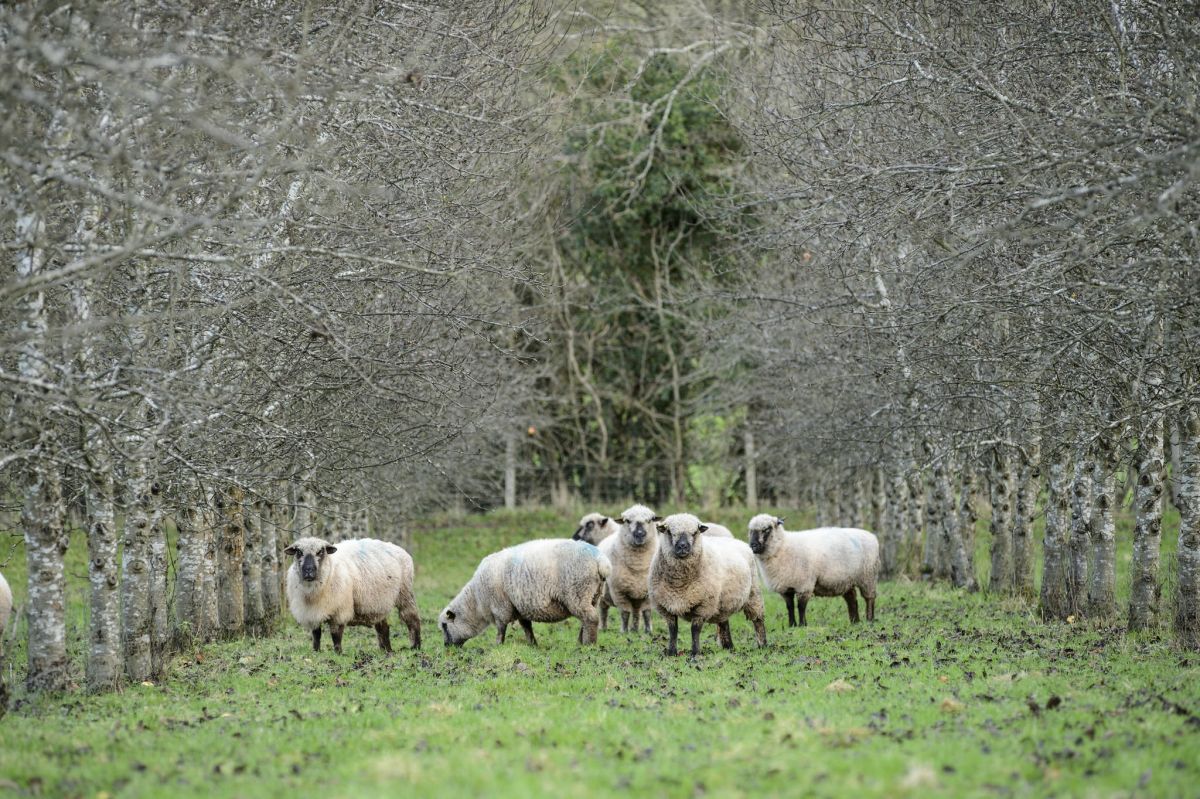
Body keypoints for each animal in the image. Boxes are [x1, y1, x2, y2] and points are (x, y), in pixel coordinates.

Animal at [284, 535, 424, 652]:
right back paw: (386, 650)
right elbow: (316, 634)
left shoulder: (339, 610)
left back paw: (415, 647)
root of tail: (398, 548)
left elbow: (336, 635)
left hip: (405, 593)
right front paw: (316, 651)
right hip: (378, 603)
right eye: (298, 552)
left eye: (321, 551)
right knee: (383, 628)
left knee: (412, 618)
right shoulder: (311, 613)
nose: (308, 571)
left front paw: (338, 653)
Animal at [439, 535, 609, 647]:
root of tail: (599, 559)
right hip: (593, 595)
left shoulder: (500, 606)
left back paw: (589, 644)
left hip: (577, 593)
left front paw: (497, 645)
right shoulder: (519, 607)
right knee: (586, 619)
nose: (447, 647)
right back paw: (581, 641)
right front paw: (533, 644)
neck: (477, 602)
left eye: (445, 626)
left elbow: (501, 627)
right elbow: (527, 627)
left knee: (591, 618)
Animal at [600, 501, 667, 633]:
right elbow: (625, 613)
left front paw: (648, 631)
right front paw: (624, 631)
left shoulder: (648, 592)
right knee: (603, 610)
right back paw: (603, 628)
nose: (640, 534)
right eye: (627, 521)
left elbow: (647, 612)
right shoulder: (619, 592)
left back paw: (635, 629)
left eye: (650, 520)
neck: (638, 565)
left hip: (636, 595)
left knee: (636, 612)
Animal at [648, 511, 768, 652]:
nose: (683, 546)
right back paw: (728, 646)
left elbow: (695, 630)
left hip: (753, 593)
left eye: (695, 532)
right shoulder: (665, 606)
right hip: (722, 600)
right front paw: (671, 652)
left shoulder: (703, 605)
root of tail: (738, 541)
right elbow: (673, 630)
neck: (679, 584)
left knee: (758, 620)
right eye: (670, 532)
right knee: (723, 620)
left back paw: (762, 645)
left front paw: (695, 653)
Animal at [748, 513, 883, 623]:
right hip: (846, 580)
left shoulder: (804, 584)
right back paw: (855, 621)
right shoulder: (785, 587)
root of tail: (872, 536)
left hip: (868, 576)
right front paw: (792, 625)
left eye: (766, 529)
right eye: (751, 531)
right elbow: (790, 607)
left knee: (870, 598)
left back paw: (869, 619)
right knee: (852, 599)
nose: (752, 545)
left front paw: (802, 625)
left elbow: (801, 607)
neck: (782, 546)